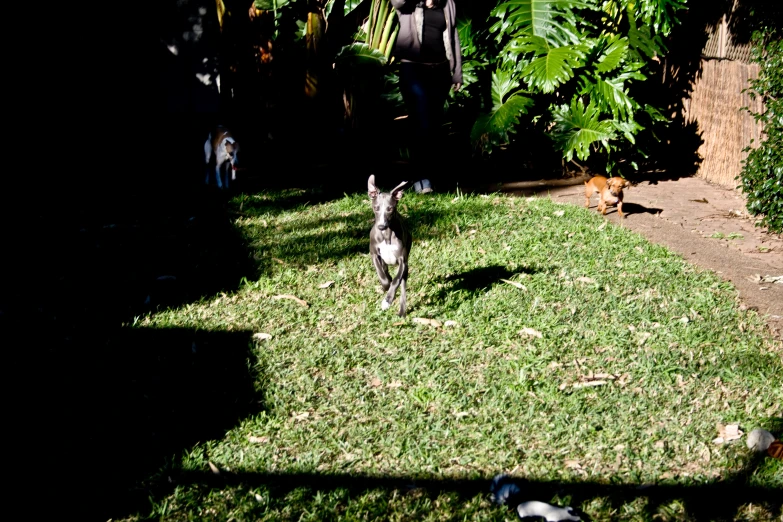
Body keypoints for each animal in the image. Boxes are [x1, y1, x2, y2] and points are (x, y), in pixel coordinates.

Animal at [370, 175, 414, 314]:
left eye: (390, 209)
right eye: (376, 208)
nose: (381, 226)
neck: (387, 234)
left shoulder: (402, 260)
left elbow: (396, 280)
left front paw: (387, 300)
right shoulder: (374, 254)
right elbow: (382, 275)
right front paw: (386, 285)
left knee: (403, 283)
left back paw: (402, 311)